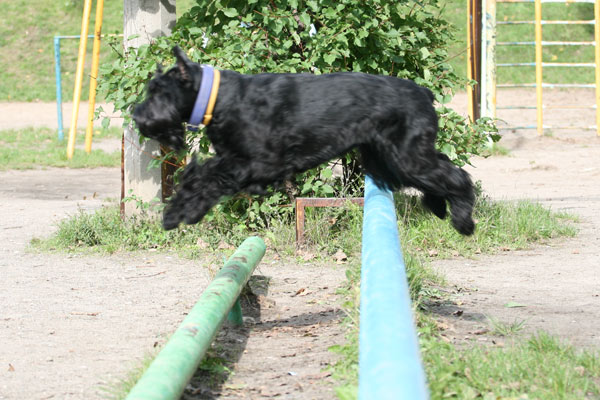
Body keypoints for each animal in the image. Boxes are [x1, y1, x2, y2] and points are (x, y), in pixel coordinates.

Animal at [133, 46, 475, 235]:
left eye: (158, 91)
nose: (138, 116)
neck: (220, 98)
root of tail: (424, 93)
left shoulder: (256, 163)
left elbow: (206, 177)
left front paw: (179, 213)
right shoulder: (236, 161)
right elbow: (199, 174)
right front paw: (180, 210)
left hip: (406, 156)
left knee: (457, 177)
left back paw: (463, 221)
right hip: (390, 160)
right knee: (441, 169)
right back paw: (438, 206)